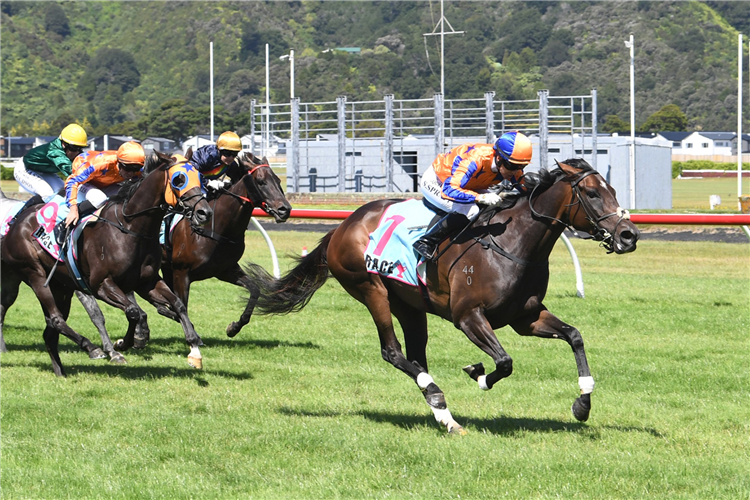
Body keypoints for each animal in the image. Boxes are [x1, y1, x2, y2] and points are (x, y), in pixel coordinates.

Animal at [0, 152, 212, 376]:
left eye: (200, 177)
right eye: (179, 179)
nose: (204, 212)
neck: (131, 229)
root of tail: (14, 224)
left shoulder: (146, 282)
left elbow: (177, 304)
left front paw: (194, 348)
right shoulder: (101, 285)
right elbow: (133, 312)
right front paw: (125, 343)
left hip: (61, 286)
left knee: (51, 330)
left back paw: (61, 372)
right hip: (35, 274)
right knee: (56, 319)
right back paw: (91, 348)